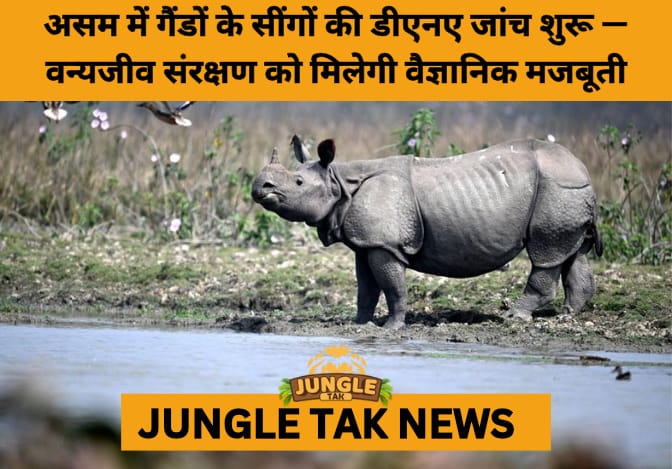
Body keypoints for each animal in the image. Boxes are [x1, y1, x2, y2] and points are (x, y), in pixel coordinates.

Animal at [251, 137, 602, 328]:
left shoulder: (385, 244)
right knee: (571, 252)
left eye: (298, 183)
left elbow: (392, 286)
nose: (259, 186)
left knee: (545, 253)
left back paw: (513, 317)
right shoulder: (367, 243)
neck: (339, 181)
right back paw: (566, 316)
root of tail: (583, 168)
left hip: (557, 189)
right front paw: (359, 324)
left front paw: (391, 328)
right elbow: (366, 288)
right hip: (567, 192)